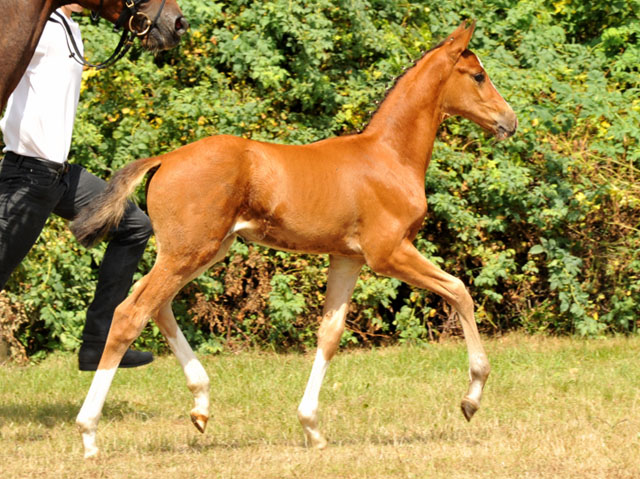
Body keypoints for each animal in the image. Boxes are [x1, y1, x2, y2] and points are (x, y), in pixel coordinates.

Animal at [72, 22, 516, 458]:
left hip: (202, 251)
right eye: (478, 75)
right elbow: (458, 290)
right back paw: (90, 434)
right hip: (189, 252)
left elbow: (330, 334)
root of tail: (164, 159)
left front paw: (312, 427)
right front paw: (472, 398)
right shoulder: (388, 253)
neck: (389, 156)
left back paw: (200, 405)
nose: (509, 121)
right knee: (131, 313)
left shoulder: (347, 258)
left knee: (156, 306)